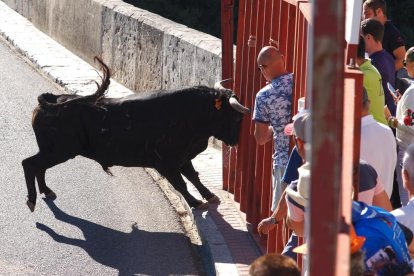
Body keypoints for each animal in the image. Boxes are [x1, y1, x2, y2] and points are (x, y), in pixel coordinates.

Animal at [22, 56, 249, 211]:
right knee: (30, 164)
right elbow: (182, 184)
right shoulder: (166, 164)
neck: (192, 113)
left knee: (39, 167)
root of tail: (53, 99)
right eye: (237, 118)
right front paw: (195, 202)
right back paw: (32, 200)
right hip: (59, 151)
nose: (236, 141)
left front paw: (209, 195)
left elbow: (193, 177)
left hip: (53, 151)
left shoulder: (183, 158)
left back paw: (46, 191)